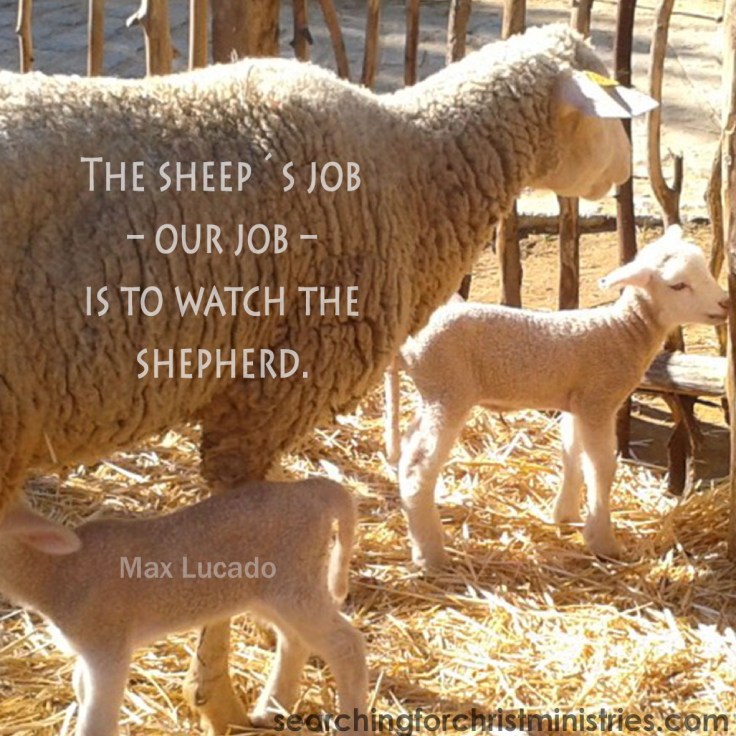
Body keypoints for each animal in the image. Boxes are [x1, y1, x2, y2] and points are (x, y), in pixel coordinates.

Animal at [0, 477, 366, 736]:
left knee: (345, 646)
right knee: (295, 641)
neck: (55, 573)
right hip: (273, 592)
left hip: (293, 584)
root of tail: (314, 490)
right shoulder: (88, 650)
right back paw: (270, 710)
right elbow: (79, 688)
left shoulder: (108, 647)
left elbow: (97, 719)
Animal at [387, 227, 729, 570]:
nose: (725, 303)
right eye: (678, 285)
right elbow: (601, 467)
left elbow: (572, 456)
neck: (624, 331)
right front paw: (603, 541)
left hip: (432, 393)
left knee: (408, 448)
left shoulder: (577, 403)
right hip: (449, 390)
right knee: (417, 467)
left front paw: (566, 515)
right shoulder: (598, 401)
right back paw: (430, 555)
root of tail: (407, 342)